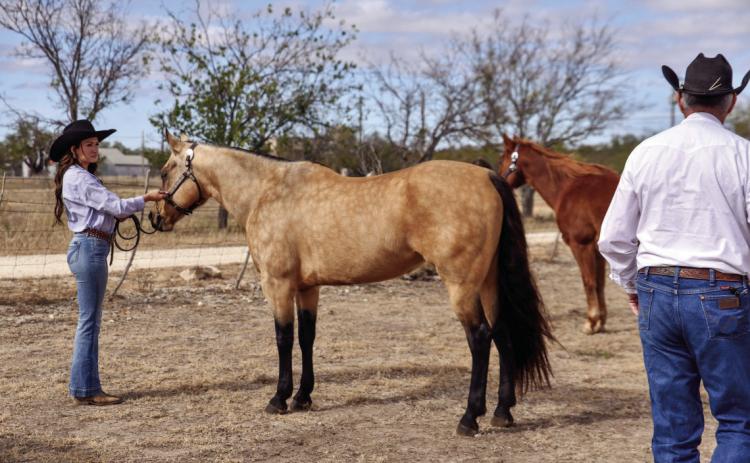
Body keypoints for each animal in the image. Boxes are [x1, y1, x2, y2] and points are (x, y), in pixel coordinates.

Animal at [150, 131, 554, 436]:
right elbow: (307, 338)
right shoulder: (307, 288)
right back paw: (503, 412)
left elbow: (283, 339)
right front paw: (303, 398)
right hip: (488, 282)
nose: (156, 218)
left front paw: (279, 399)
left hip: (462, 285)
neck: (269, 191)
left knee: (480, 339)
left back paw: (470, 418)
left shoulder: (278, 284)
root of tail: (485, 176)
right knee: (502, 333)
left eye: (166, 171)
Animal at [498, 134, 619, 334]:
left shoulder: (581, 245)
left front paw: (590, 322)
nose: (497, 181)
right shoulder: (596, 249)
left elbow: (588, 281)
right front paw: (601, 322)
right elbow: (599, 283)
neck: (567, 189)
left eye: (502, 158)